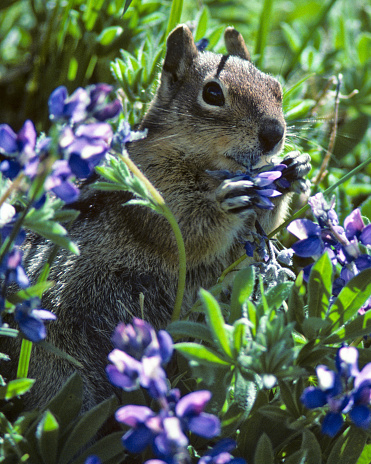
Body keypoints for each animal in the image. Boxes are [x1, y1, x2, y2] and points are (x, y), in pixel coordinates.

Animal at [2, 24, 310, 410]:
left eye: (276, 88)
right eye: (212, 93)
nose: (274, 134)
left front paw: (295, 168)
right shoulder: (153, 189)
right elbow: (182, 229)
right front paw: (225, 200)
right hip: (57, 368)